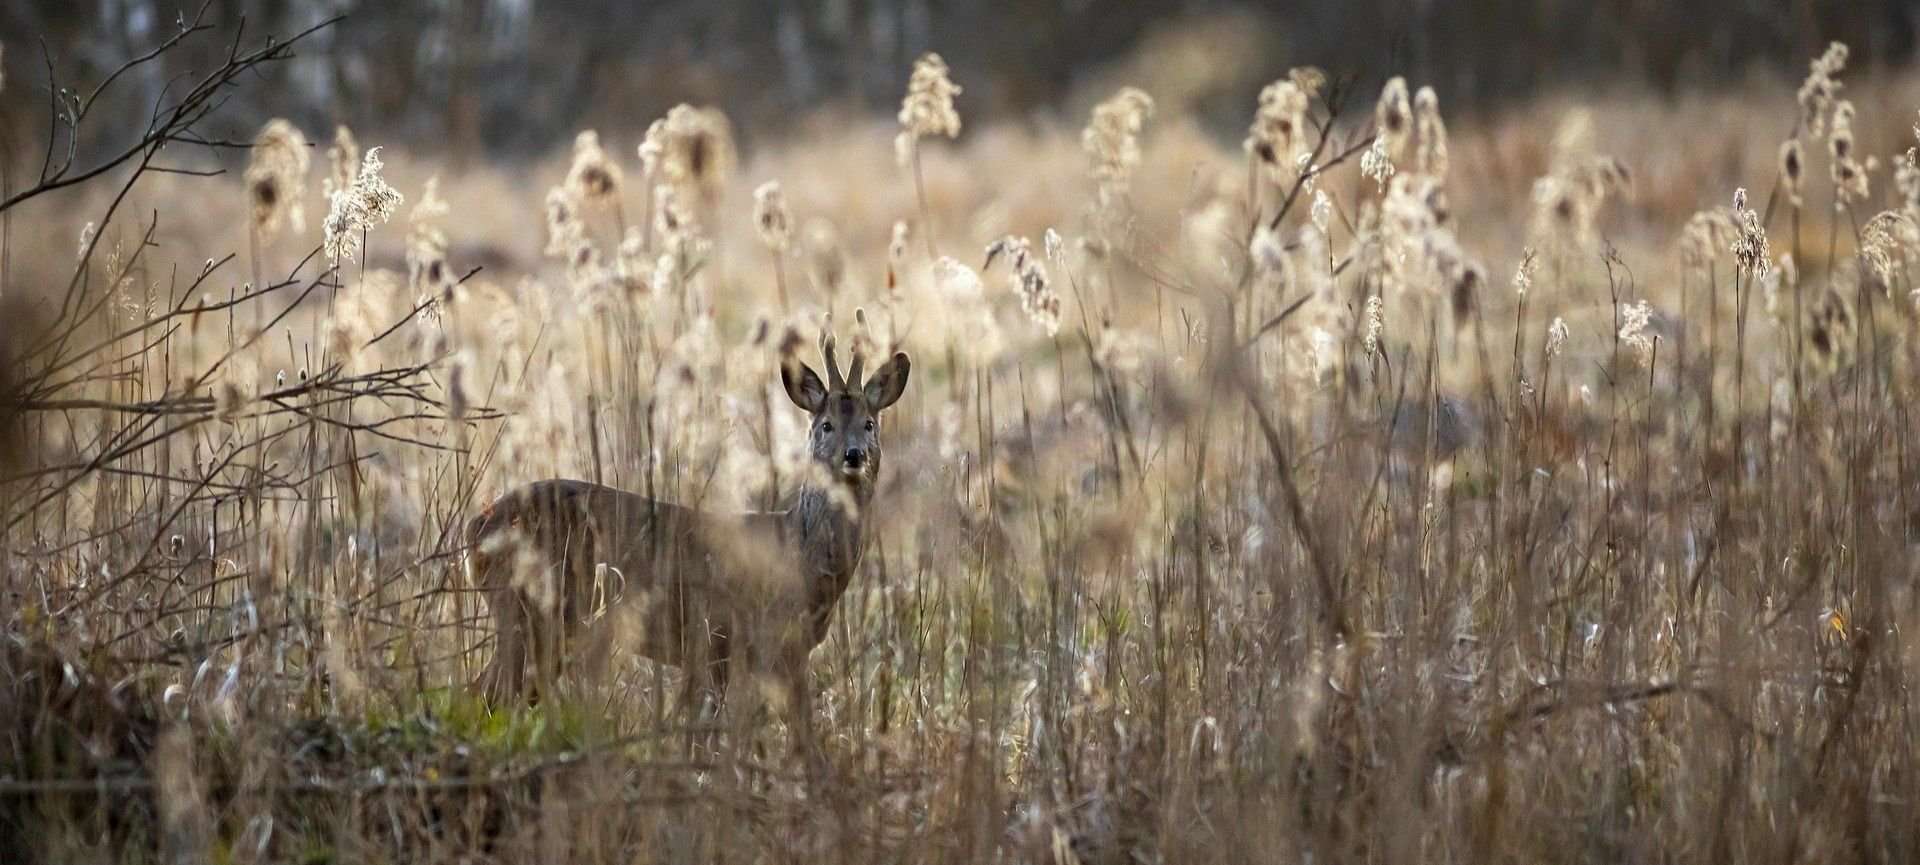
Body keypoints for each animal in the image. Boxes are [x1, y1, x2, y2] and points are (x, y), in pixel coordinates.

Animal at [468, 331, 910, 751]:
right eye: (826, 425)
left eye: (869, 424)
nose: (854, 455)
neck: (801, 558)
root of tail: (475, 530)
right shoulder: (730, 637)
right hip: (527, 612)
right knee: (487, 694)